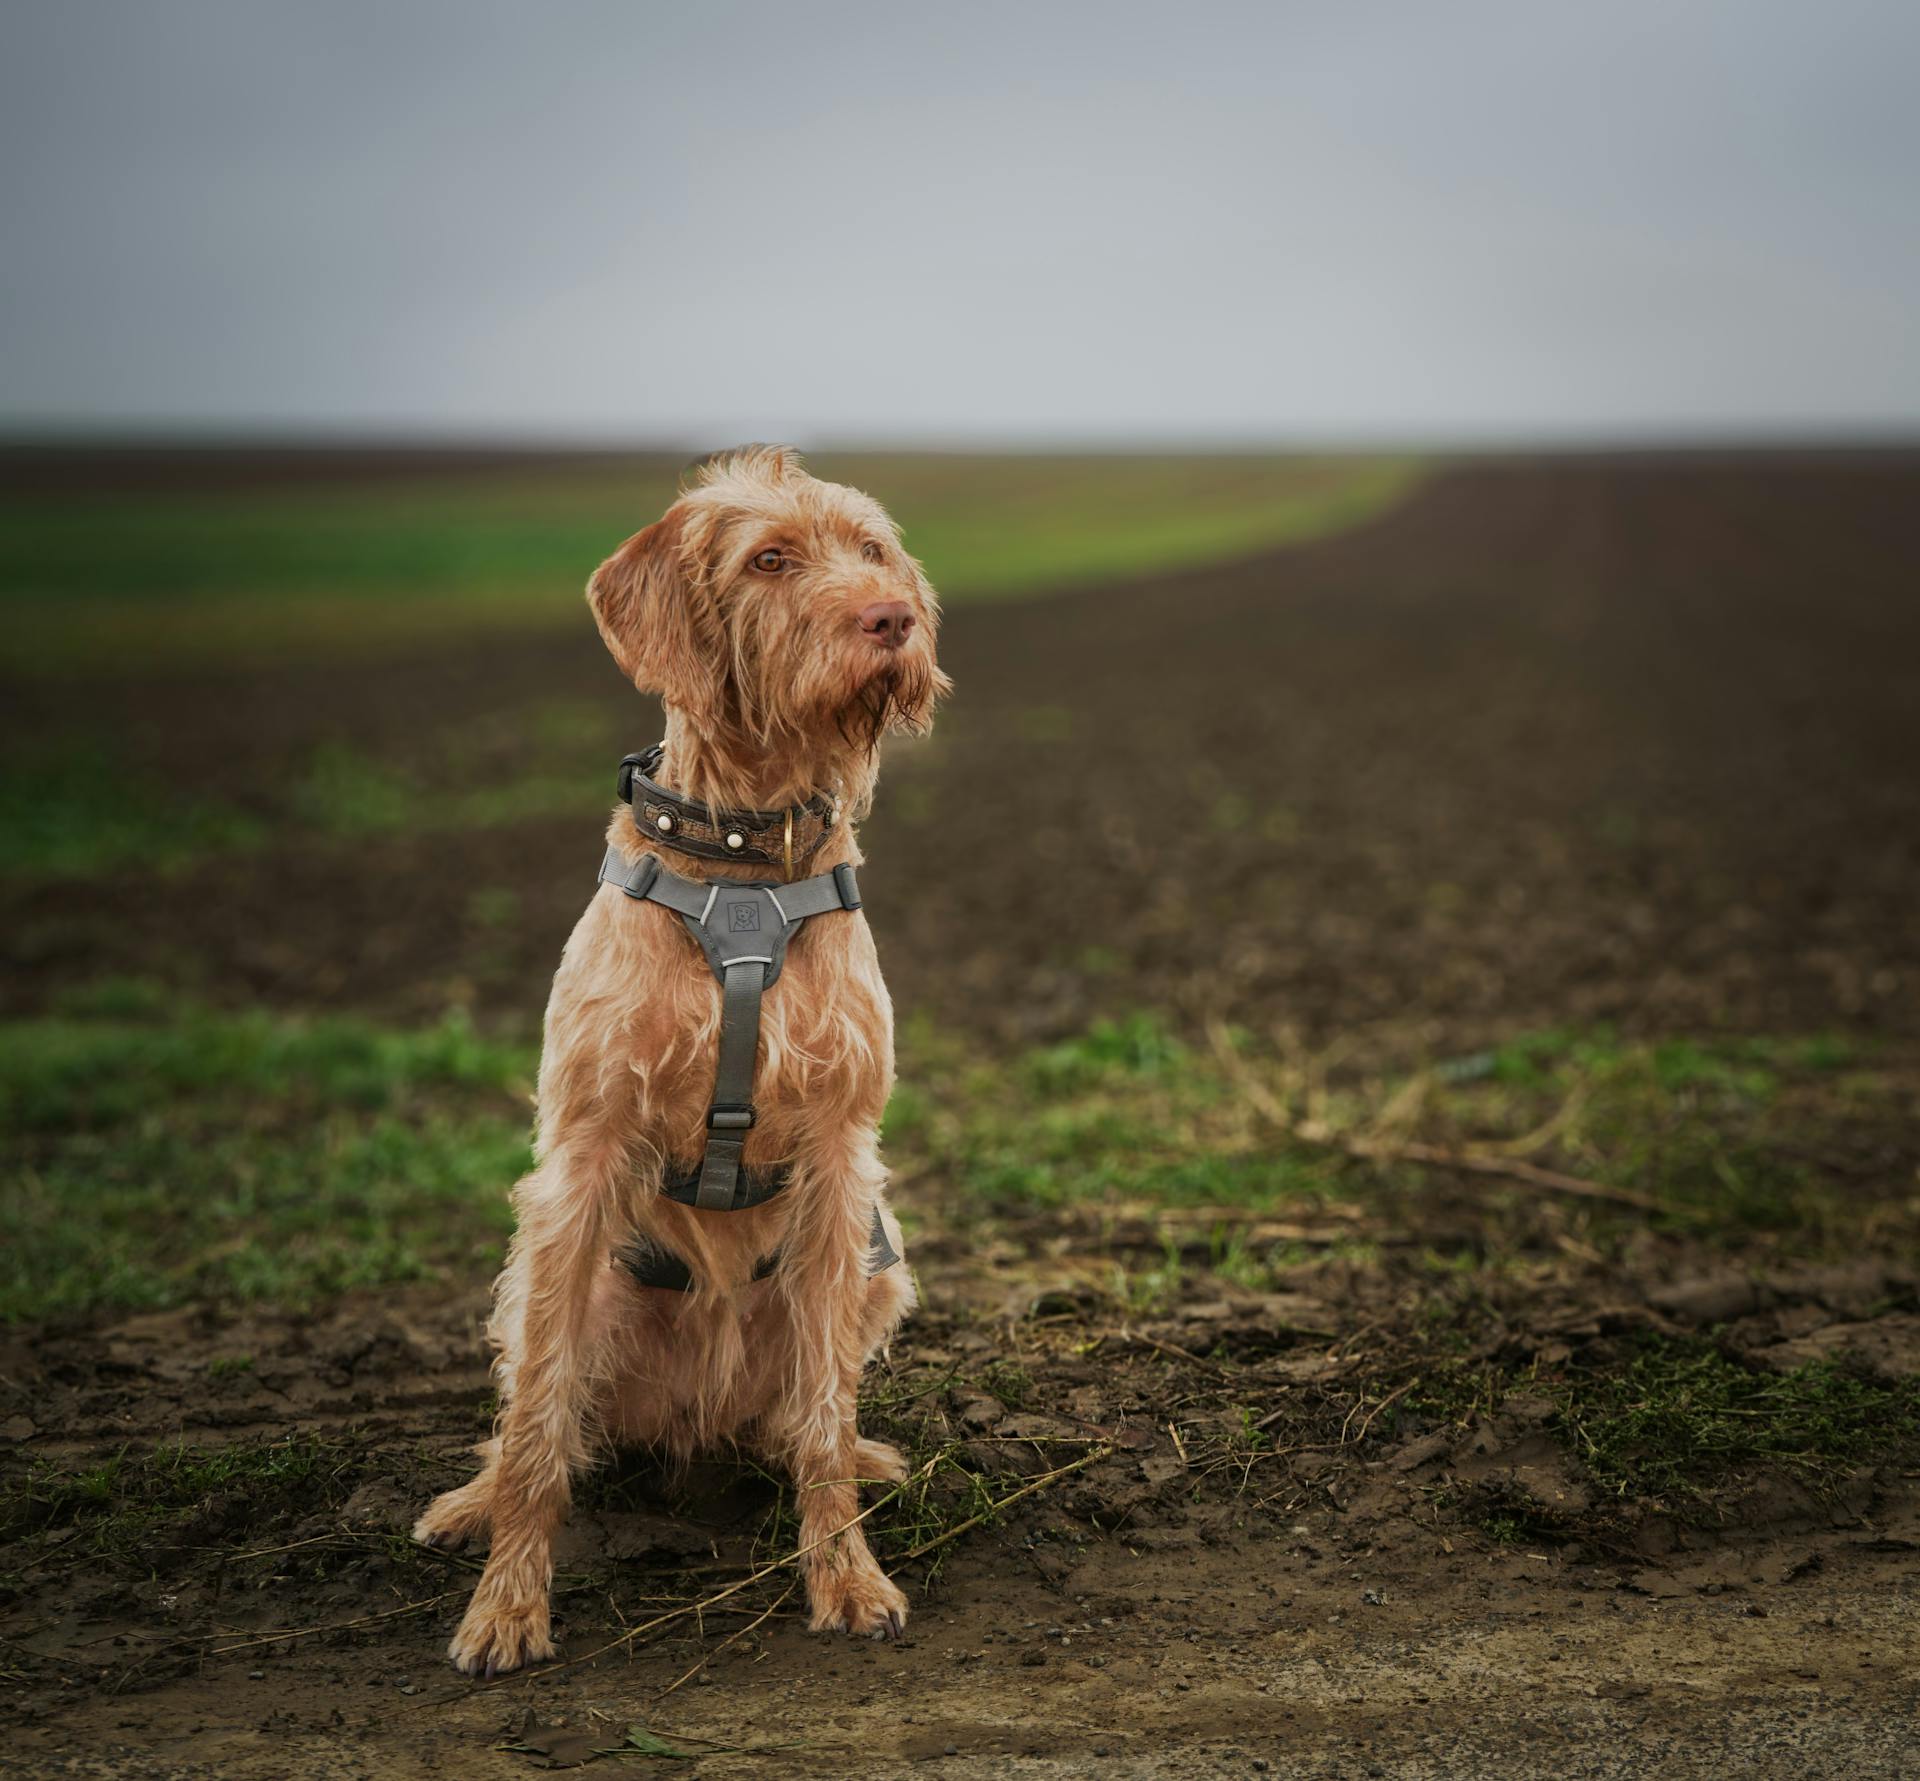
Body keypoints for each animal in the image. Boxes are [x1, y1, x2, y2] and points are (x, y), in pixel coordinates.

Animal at [412, 441, 944, 1673]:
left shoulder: (844, 1163)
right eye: (771, 559)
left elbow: (824, 1414)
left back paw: (861, 1461)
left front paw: (846, 1573)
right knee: (540, 1412)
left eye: (873, 548)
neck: (747, 853)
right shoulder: (580, 1156)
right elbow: (540, 1421)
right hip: (544, 1273)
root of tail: (697, 1422)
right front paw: (506, 1605)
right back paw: (471, 1504)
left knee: (798, 1415)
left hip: (878, 1263)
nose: (894, 617)